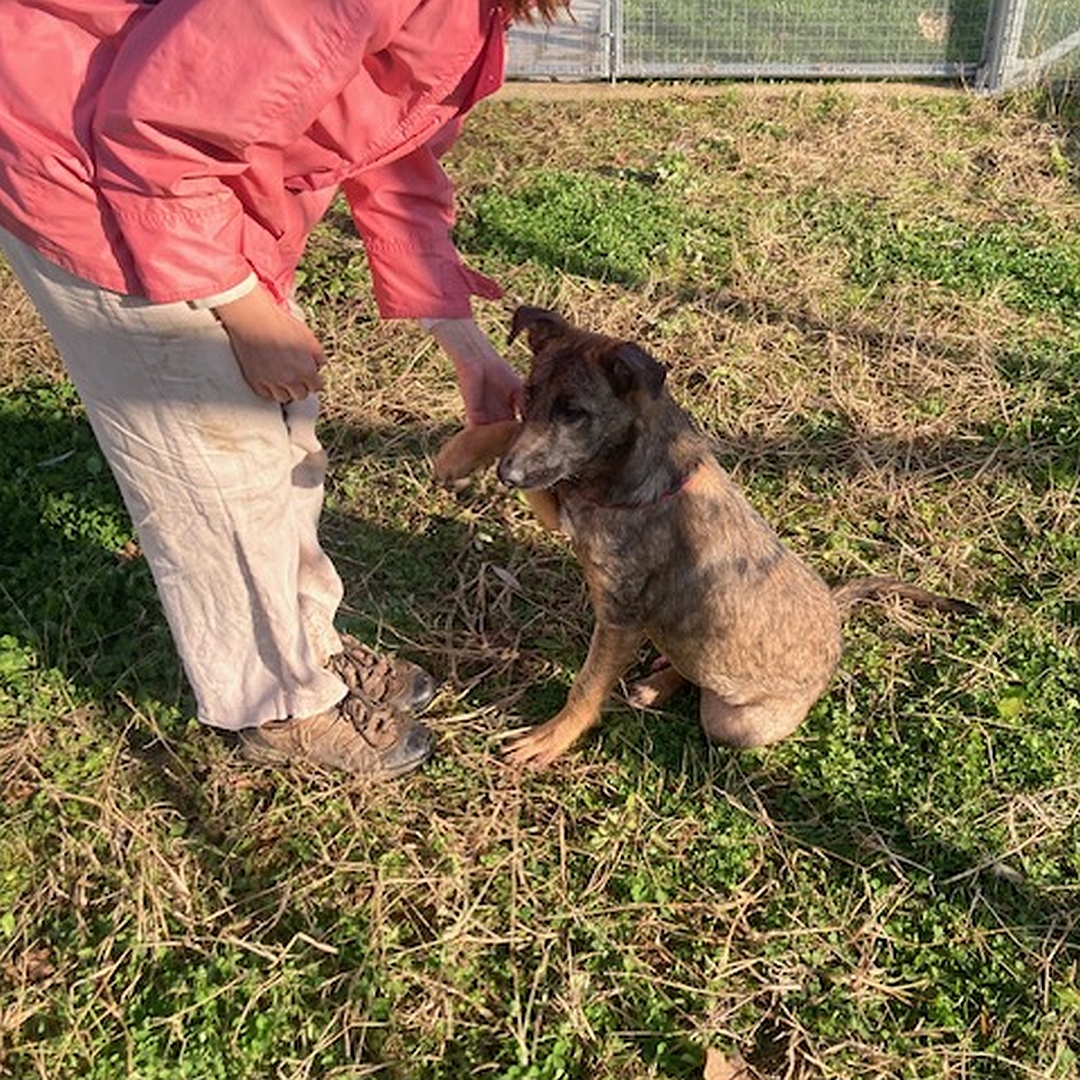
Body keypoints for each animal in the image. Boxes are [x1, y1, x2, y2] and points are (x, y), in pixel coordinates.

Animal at [434, 304, 976, 768]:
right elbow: (517, 439)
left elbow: (586, 686)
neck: (635, 474)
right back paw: (659, 680)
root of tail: (837, 618)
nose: (506, 476)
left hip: (733, 722)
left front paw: (553, 738)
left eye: (574, 413)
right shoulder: (568, 505)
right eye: (529, 394)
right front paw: (461, 452)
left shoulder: (620, 617)